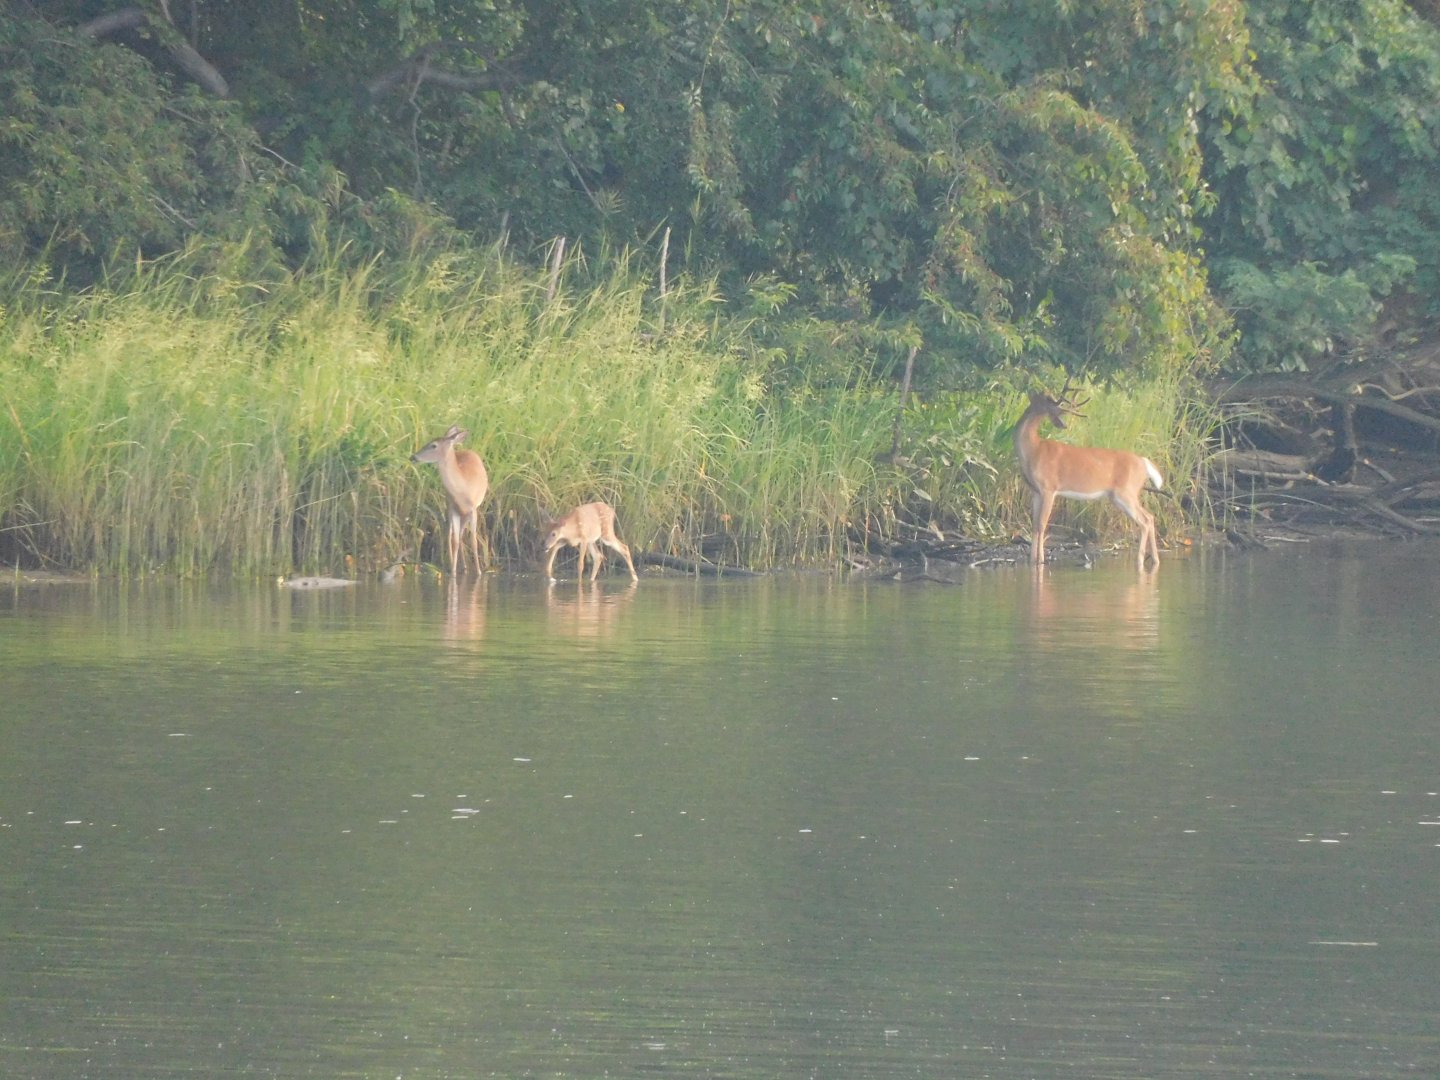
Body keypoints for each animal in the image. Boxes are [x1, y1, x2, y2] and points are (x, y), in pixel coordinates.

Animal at [410, 425, 489, 576]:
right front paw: (453, 572)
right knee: (451, 534)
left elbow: (473, 541)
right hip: (449, 506)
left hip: (466, 513)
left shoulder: (472, 510)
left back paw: (465, 567)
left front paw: (478, 572)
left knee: (462, 535)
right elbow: (454, 540)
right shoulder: (454, 509)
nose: (413, 457)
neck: (463, 489)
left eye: (433, 445)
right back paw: (459, 566)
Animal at [1012, 382, 1163, 570]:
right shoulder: (1035, 491)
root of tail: (1144, 462)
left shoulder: (1049, 488)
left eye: (1048, 398)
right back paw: (1155, 560)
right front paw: (1033, 560)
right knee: (1150, 517)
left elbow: (1042, 525)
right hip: (1119, 496)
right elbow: (1034, 526)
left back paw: (1140, 560)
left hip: (1126, 492)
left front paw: (1039, 560)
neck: (1033, 451)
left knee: (1145, 520)